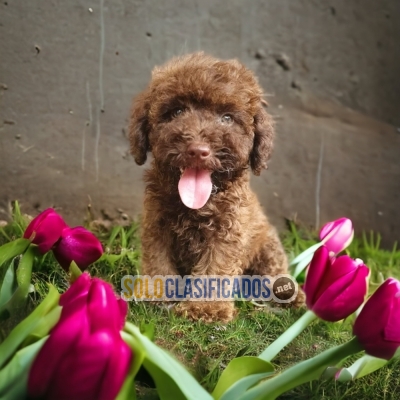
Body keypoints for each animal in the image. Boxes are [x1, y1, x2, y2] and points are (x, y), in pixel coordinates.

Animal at [128, 52, 300, 322]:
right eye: (177, 111)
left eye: (227, 118)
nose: (198, 150)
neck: (196, 204)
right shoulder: (156, 224)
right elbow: (157, 259)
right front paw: (156, 293)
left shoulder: (227, 231)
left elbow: (216, 268)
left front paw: (205, 308)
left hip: (268, 248)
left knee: (274, 271)